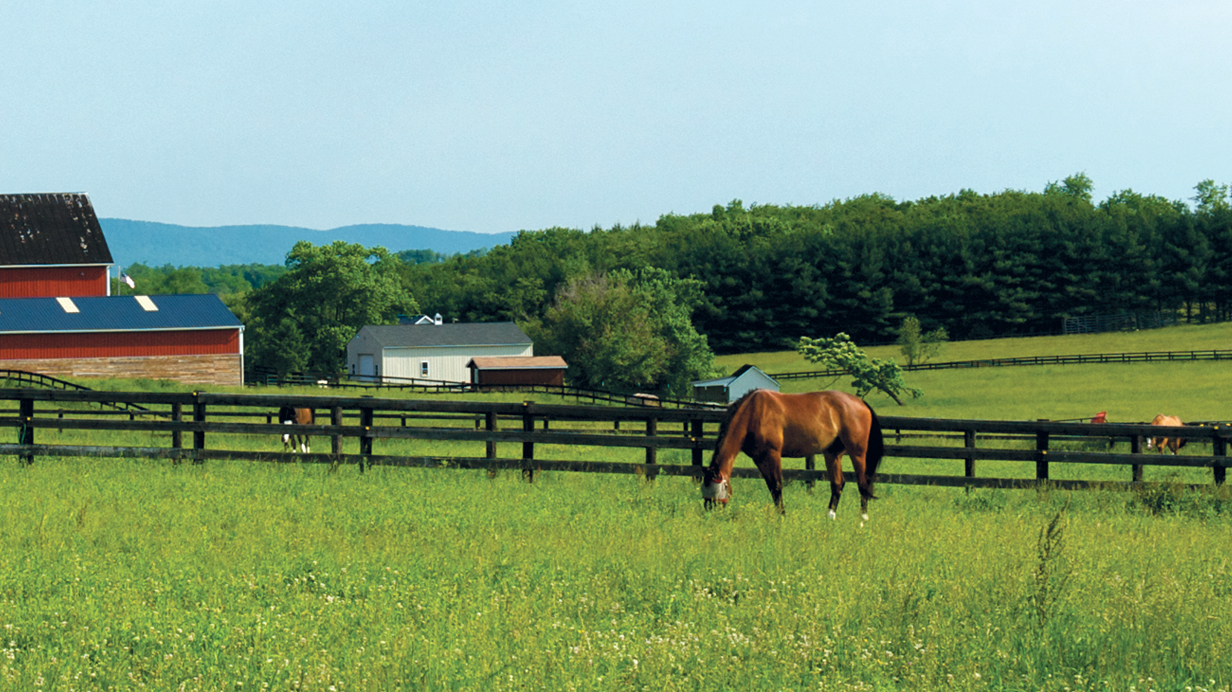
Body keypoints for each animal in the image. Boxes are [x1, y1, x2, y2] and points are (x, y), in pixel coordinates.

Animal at [701, 389, 884, 520]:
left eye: (716, 492)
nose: (710, 515)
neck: (754, 412)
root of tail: (860, 402)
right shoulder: (759, 459)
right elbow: (771, 487)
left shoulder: (773, 454)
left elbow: (777, 486)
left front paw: (782, 517)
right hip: (832, 454)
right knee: (838, 484)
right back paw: (830, 517)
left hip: (857, 453)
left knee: (863, 484)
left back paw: (862, 519)